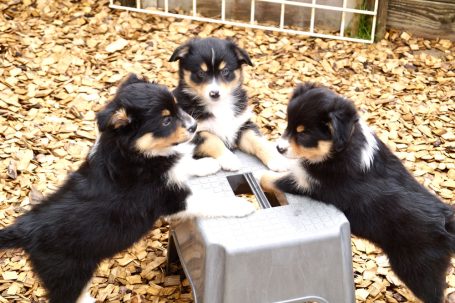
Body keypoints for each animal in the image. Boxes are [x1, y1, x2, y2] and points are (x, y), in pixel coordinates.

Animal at [0, 74, 256, 303]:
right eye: (165, 121)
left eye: (176, 107)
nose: (194, 126)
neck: (137, 153)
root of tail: (25, 228)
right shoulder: (169, 199)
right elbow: (209, 200)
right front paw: (241, 205)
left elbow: (183, 165)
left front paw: (209, 164)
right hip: (68, 274)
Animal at [169, 36, 290, 172]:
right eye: (201, 73)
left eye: (225, 71)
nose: (215, 93)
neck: (219, 105)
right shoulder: (193, 132)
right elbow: (213, 140)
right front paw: (229, 159)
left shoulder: (242, 125)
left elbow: (258, 141)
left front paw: (276, 160)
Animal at [260, 82, 455, 303]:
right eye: (288, 125)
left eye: (303, 134)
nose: (279, 148)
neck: (343, 146)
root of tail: (447, 222)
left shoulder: (311, 184)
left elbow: (272, 179)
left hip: (417, 269)